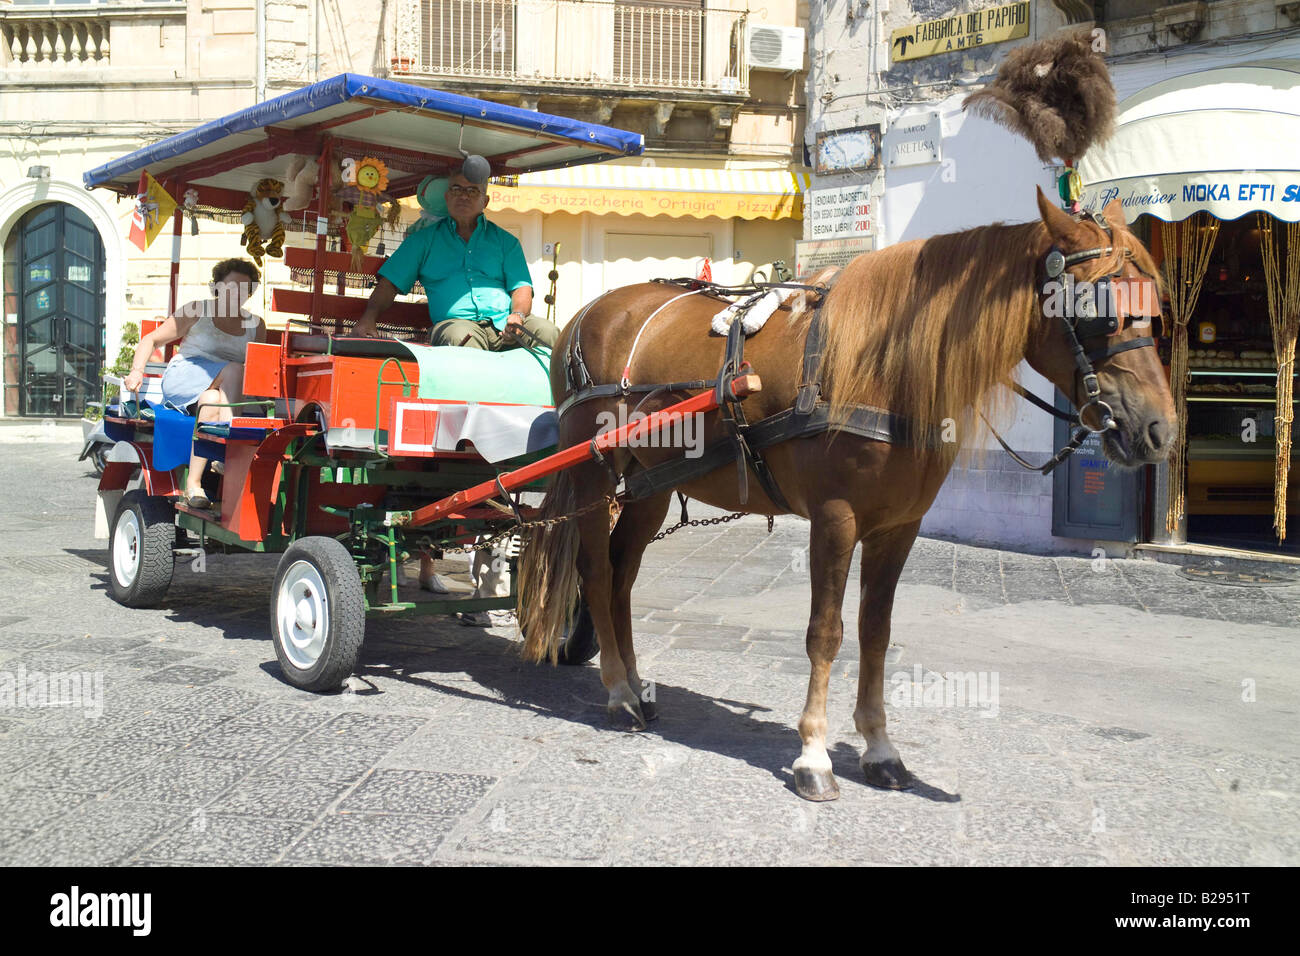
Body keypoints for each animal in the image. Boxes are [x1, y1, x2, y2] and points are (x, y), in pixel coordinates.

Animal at [520, 187, 1180, 801]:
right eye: (1099, 310)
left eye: (1152, 305)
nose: (1161, 430)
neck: (883, 367)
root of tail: (590, 311)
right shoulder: (834, 519)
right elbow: (826, 632)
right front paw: (814, 754)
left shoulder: (898, 526)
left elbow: (876, 632)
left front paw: (881, 749)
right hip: (593, 474)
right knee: (596, 572)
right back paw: (616, 692)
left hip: (649, 484)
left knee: (622, 574)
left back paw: (636, 685)